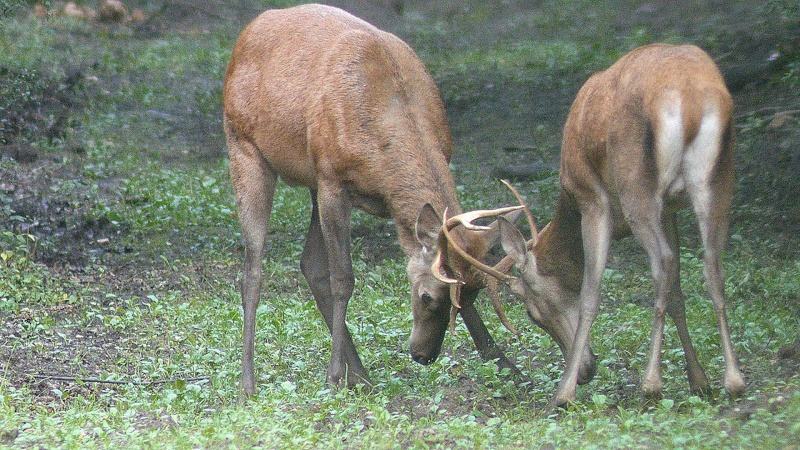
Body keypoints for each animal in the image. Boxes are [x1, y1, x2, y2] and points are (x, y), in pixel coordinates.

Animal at [223, 4, 524, 394]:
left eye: (470, 299)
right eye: (426, 297)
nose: (423, 356)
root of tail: (247, 33)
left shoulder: (332, 182)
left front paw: (506, 364)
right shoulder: (333, 179)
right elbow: (343, 278)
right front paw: (333, 375)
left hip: (310, 180)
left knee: (309, 264)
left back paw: (361, 374)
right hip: (244, 146)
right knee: (253, 269)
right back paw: (249, 382)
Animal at [434, 43, 748, 408]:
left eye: (531, 313)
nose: (586, 371)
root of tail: (691, 100)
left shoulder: (592, 200)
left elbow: (590, 293)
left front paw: (564, 392)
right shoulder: (670, 209)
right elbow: (678, 295)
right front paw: (699, 380)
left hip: (636, 187)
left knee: (662, 263)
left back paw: (650, 384)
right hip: (718, 180)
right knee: (711, 266)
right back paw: (734, 381)